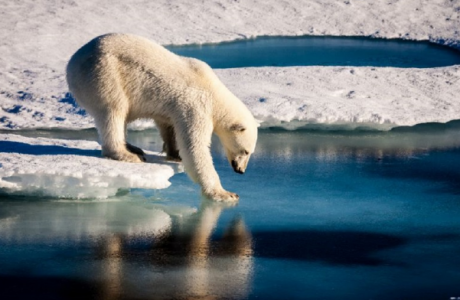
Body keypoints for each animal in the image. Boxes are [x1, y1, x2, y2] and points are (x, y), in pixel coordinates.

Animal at [65, 33, 258, 202]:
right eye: (245, 151)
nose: (240, 170)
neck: (214, 92)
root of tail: (72, 63)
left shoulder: (174, 108)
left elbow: (168, 125)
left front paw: (174, 153)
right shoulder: (196, 106)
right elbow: (195, 147)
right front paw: (225, 193)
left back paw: (133, 148)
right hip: (104, 74)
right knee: (113, 111)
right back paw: (127, 154)